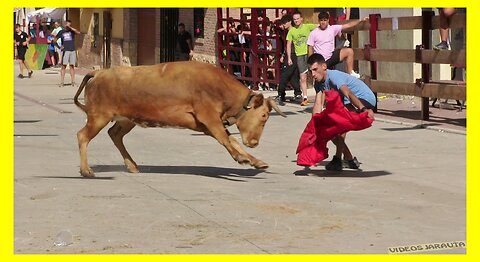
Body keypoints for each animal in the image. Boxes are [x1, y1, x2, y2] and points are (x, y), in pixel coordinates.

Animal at [73, 60, 284, 177]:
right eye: (264, 115)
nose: (254, 142)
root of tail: (98, 72)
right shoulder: (208, 118)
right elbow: (226, 139)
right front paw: (241, 158)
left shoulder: (207, 124)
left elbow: (231, 140)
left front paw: (256, 161)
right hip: (99, 116)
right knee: (83, 136)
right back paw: (86, 171)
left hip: (126, 120)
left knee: (115, 134)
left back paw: (132, 166)